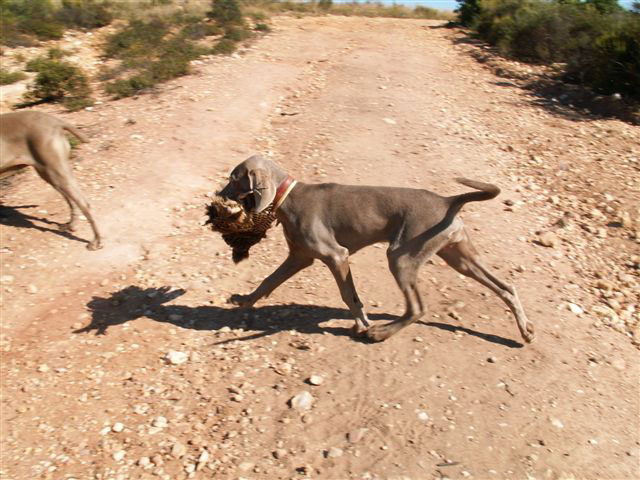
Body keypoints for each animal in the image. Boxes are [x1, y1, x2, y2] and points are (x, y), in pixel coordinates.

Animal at [0, 111, 102, 250]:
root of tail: (55, 121)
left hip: (54, 169)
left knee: (84, 203)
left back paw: (97, 241)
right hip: (48, 171)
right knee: (71, 199)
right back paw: (70, 225)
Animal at [220, 154, 535, 343]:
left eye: (234, 178)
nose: (217, 194)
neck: (288, 197)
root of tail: (448, 201)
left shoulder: (336, 255)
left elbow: (350, 296)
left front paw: (362, 324)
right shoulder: (299, 257)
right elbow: (268, 281)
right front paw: (244, 300)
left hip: (401, 256)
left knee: (418, 308)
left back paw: (380, 333)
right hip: (459, 256)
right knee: (507, 287)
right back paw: (526, 329)